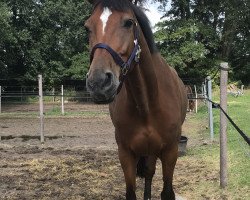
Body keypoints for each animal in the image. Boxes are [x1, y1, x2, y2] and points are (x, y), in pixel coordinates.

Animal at [85, 0, 187, 199]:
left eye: (128, 23)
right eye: (87, 28)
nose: (98, 83)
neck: (147, 104)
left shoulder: (170, 152)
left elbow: (167, 192)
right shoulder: (125, 154)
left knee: (149, 173)